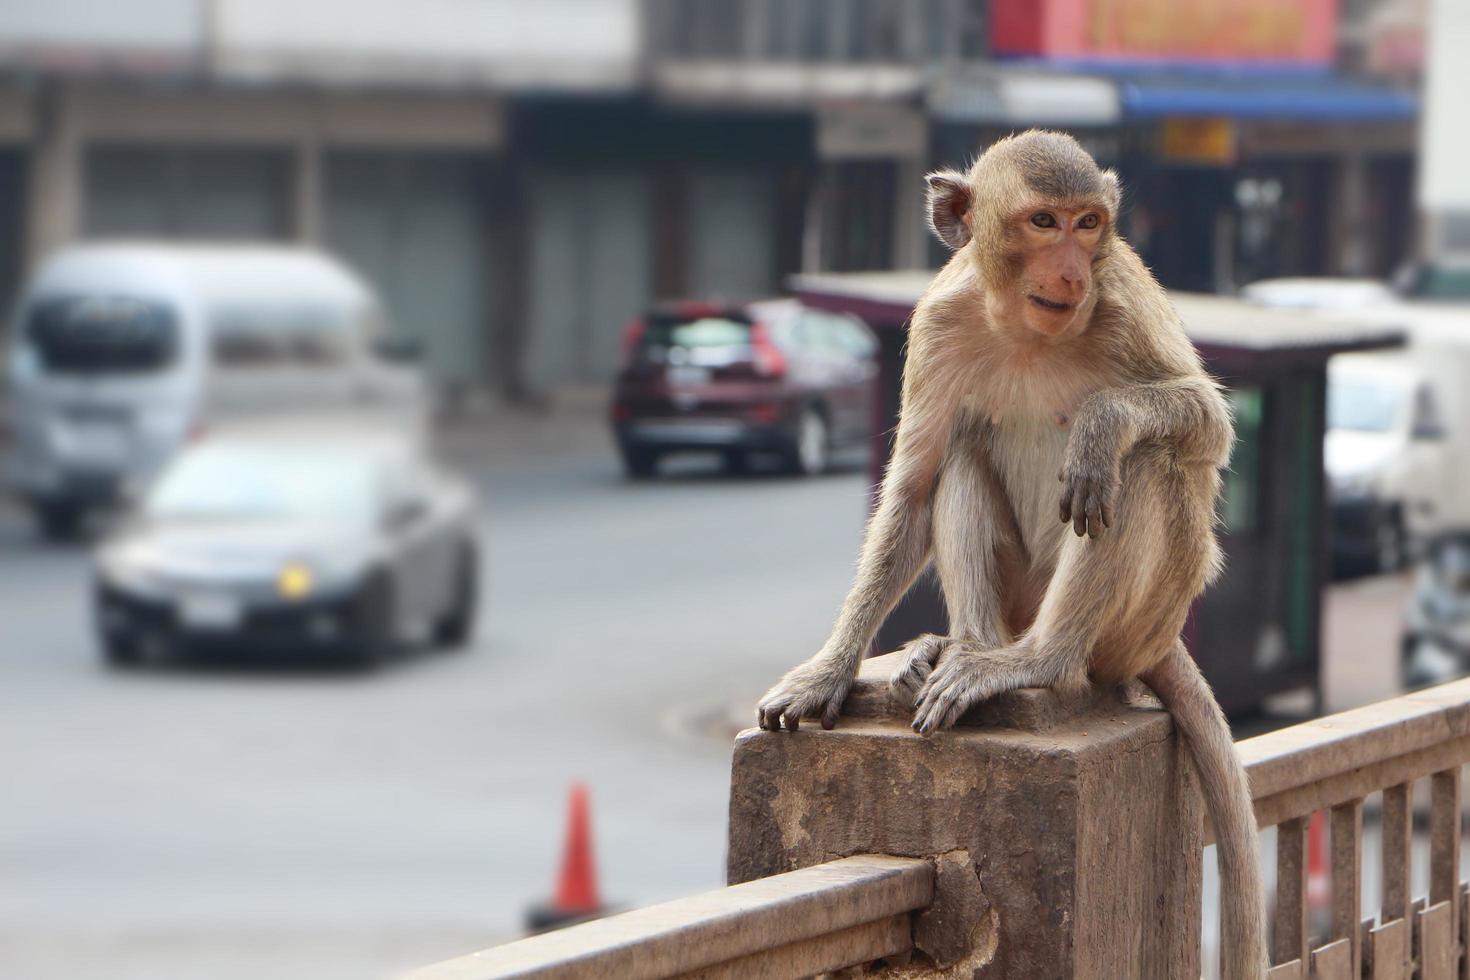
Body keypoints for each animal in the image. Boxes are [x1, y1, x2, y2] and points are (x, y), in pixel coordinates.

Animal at [758, 132, 1264, 980]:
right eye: (1043, 221)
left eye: (1090, 224)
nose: (1071, 270)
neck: (1027, 328)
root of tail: (1158, 643)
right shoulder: (938, 322)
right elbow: (915, 487)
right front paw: (829, 671)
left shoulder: (1121, 299)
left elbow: (1205, 424)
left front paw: (1103, 421)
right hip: (1022, 590)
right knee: (962, 448)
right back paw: (962, 647)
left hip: (1140, 619)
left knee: (1142, 466)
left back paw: (1038, 662)